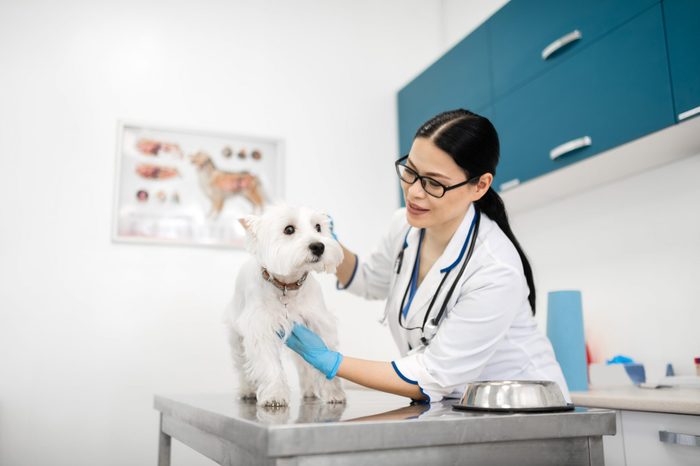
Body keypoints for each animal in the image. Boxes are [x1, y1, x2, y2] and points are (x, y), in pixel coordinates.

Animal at [224, 206, 348, 406]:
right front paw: (275, 396)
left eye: (318, 227)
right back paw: (247, 390)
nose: (318, 246)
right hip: (237, 337)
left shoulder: (318, 324)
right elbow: (269, 365)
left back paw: (310, 391)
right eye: (289, 229)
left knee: (304, 365)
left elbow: (325, 356)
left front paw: (334, 393)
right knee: (242, 364)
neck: (287, 286)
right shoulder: (261, 327)